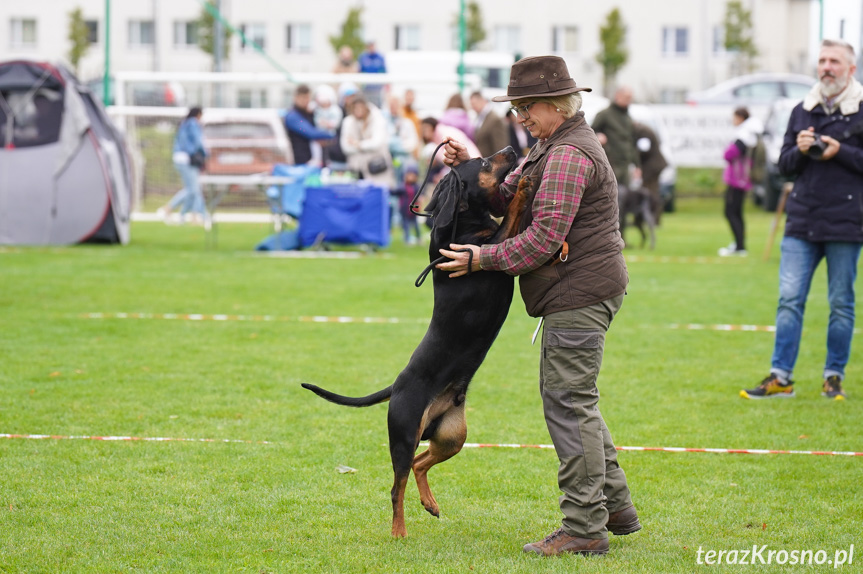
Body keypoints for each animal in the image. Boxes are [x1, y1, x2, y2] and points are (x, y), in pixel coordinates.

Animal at [304, 145, 532, 540]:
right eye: (484, 162)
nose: (510, 148)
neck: (464, 224)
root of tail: (396, 386)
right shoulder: (488, 248)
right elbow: (511, 215)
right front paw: (525, 186)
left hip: (452, 435)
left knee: (419, 464)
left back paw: (430, 504)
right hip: (406, 432)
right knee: (397, 484)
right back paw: (399, 532)